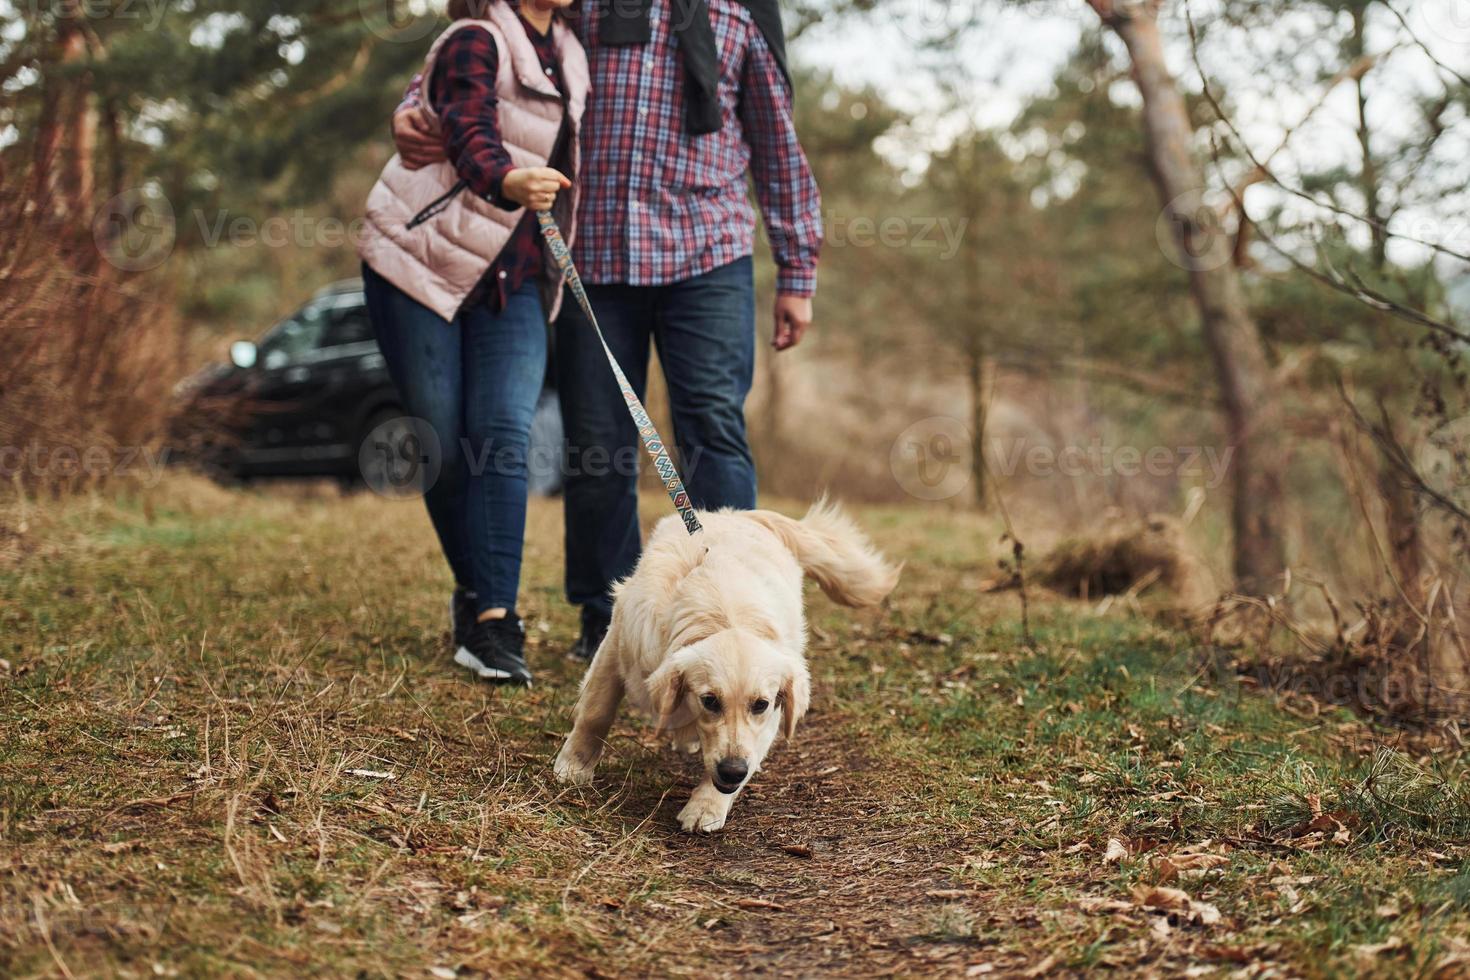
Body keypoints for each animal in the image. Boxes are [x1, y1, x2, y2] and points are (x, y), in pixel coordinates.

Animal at [552, 502, 893, 834]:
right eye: (710, 701)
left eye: (760, 705)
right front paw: (574, 766)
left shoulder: (772, 713)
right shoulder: (619, 638)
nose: (732, 771)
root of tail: (745, 516)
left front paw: (706, 807)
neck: (725, 615)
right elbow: (597, 711)